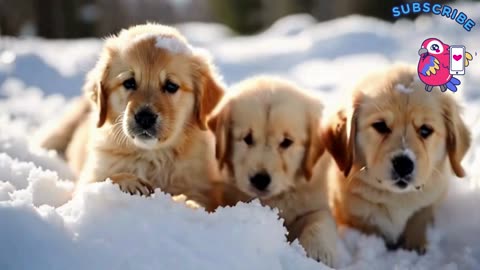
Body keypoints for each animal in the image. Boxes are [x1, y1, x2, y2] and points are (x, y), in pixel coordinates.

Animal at [40, 23, 224, 210]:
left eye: (171, 86)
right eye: (129, 82)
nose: (145, 118)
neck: (152, 156)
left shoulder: (200, 186)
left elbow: (196, 199)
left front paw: (187, 203)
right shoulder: (89, 179)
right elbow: (104, 180)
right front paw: (130, 183)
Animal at [209, 76, 338, 266]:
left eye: (286, 142)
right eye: (247, 138)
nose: (260, 179)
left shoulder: (316, 202)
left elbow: (319, 219)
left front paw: (320, 251)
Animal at [324, 64, 470, 254]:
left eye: (425, 130)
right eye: (380, 126)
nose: (403, 164)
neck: (396, 199)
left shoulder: (427, 206)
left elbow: (419, 221)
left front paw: (416, 247)